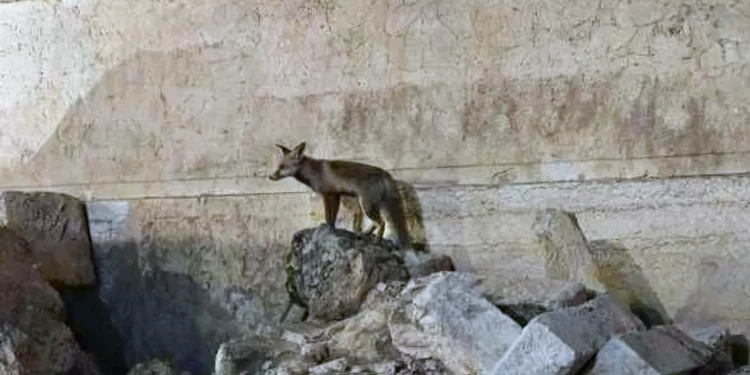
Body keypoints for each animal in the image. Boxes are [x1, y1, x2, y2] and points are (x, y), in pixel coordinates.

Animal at [270, 142, 412, 248]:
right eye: (278, 167)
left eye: (282, 167)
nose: (270, 177)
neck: (314, 172)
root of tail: (385, 172)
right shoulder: (336, 195)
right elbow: (332, 218)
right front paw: (332, 230)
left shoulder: (328, 195)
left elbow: (328, 216)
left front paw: (327, 229)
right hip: (369, 204)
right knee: (376, 223)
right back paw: (364, 234)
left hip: (366, 204)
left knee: (382, 222)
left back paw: (377, 240)